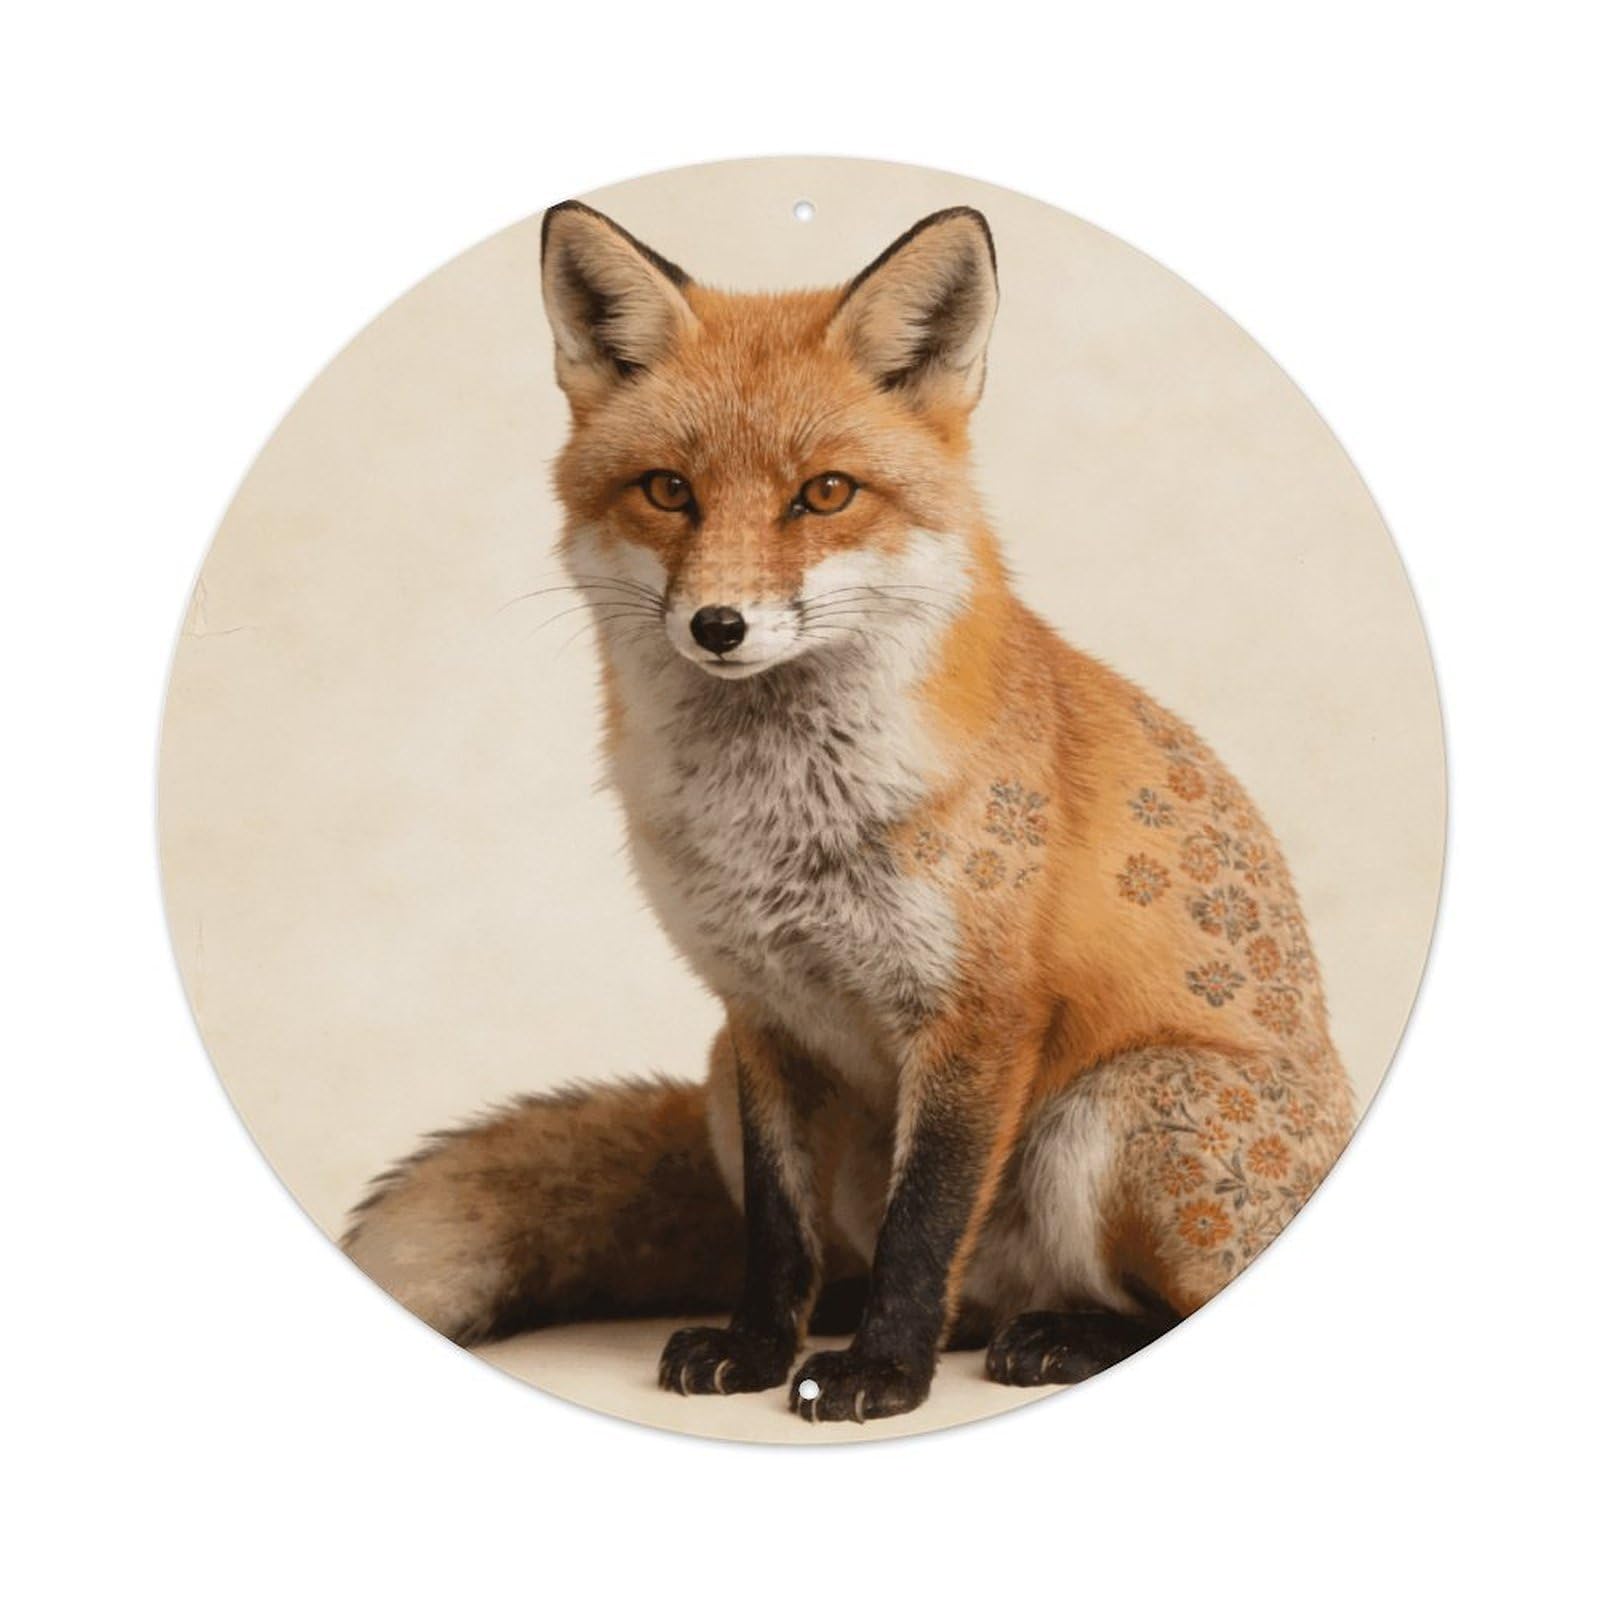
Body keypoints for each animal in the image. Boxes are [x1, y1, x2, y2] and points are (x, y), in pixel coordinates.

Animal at [342, 200, 1356, 1423]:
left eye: (824, 493)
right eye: (667, 490)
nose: (718, 624)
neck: (778, 823)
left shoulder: (978, 1011)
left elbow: (925, 1220)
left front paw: (882, 1373)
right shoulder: (758, 1011)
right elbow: (779, 1235)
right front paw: (759, 1348)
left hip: (1123, 1104)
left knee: (1161, 1308)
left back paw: (1061, 1336)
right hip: (721, 1076)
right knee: (906, 1280)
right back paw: (856, 1315)